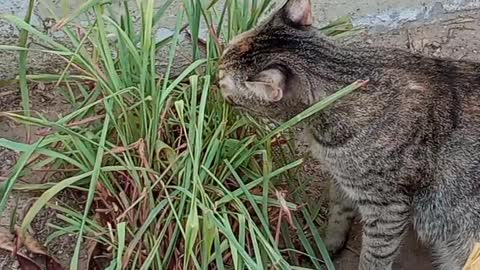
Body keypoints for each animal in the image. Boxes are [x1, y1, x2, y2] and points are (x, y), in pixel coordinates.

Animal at [217, 0, 480, 268]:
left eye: (223, 81)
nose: (214, 75)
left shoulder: (386, 207)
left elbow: (374, 256)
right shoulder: (341, 178)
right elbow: (338, 210)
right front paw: (328, 245)